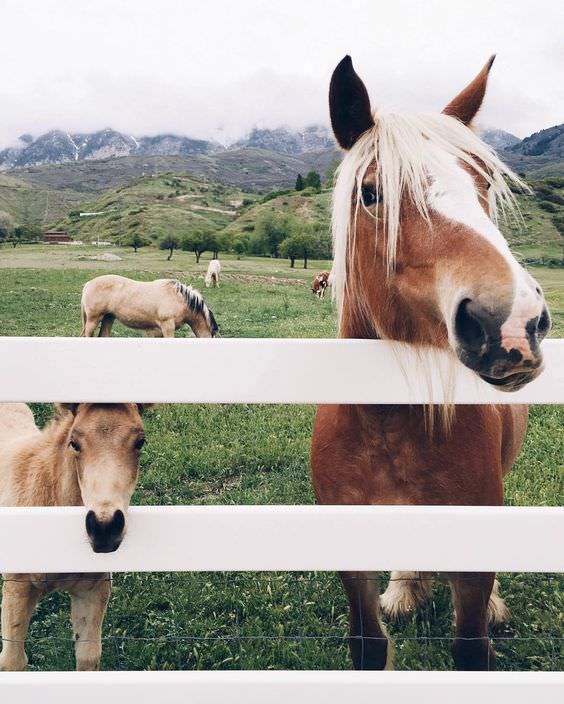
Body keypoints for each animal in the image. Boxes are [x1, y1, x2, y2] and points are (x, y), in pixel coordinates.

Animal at [0, 402, 150, 672]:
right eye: (74, 443)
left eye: (140, 442)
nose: (104, 528)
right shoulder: (17, 589)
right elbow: (12, 662)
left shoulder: (92, 590)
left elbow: (88, 658)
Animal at [308, 55, 552, 672]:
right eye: (372, 193)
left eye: (483, 183)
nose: (514, 323)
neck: (387, 424)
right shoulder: (350, 556)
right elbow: (369, 647)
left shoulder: (471, 555)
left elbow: (470, 648)